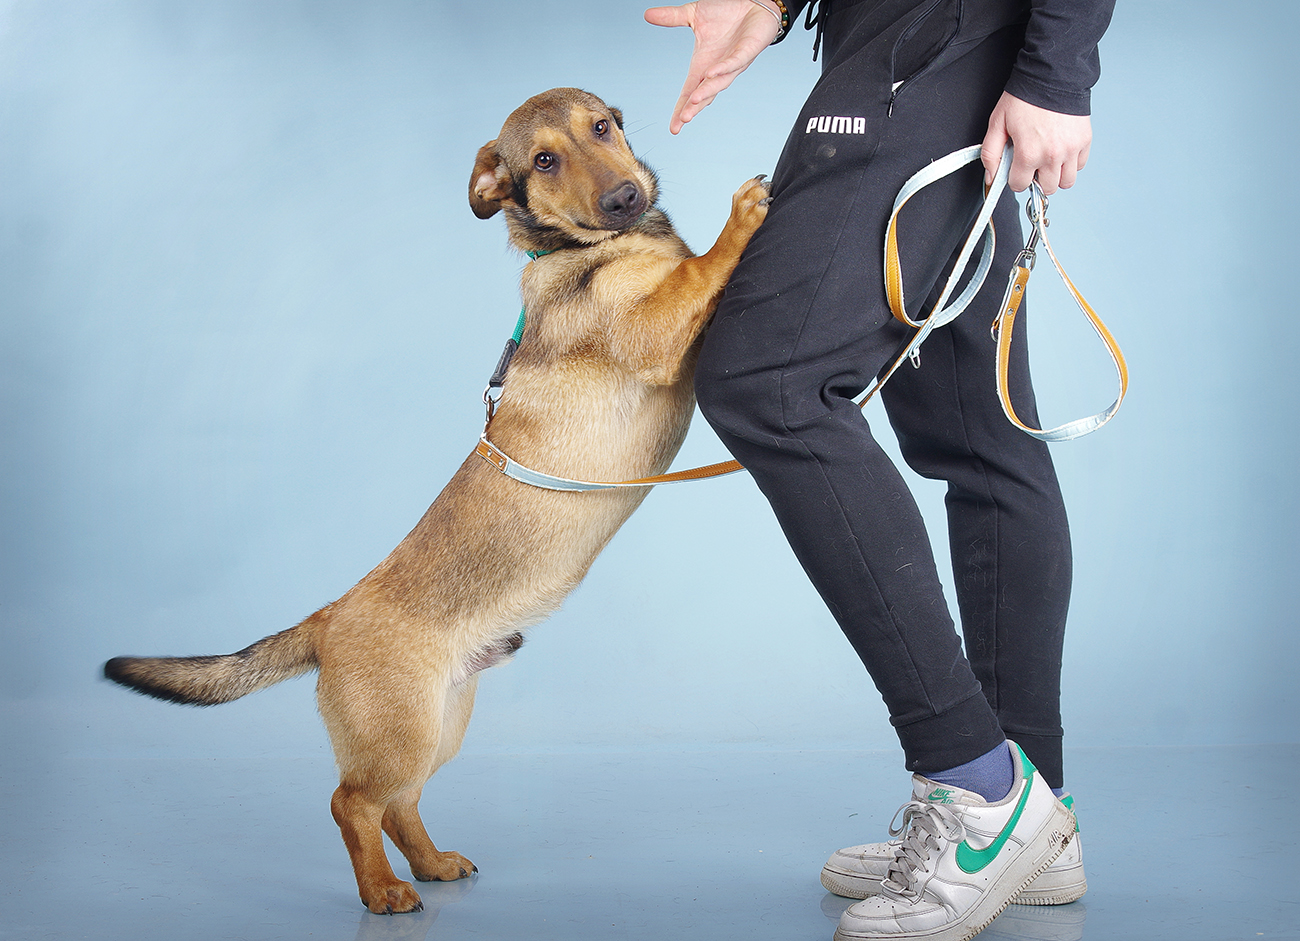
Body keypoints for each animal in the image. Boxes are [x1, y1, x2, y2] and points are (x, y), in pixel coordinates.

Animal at [104, 87, 770, 915]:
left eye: (602, 128)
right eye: (543, 160)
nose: (625, 197)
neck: (587, 248)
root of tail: (326, 618)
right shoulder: (654, 327)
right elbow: (703, 268)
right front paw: (740, 215)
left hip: (440, 724)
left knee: (398, 804)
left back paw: (427, 864)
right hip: (404, 734)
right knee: (351, 802)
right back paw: (383, 891)